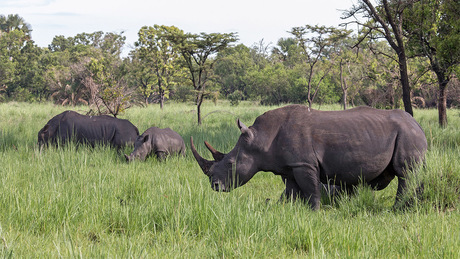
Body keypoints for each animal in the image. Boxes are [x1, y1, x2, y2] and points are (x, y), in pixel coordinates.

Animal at [190, 104, 428, 210]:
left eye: (230, 163)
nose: (215, 186)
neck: (261, 138)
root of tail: (418, 124)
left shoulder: (304, 164)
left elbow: (311, 189)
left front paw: (314, 212)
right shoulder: (290, 166)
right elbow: (292, 191)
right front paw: (290, 210)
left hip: (407, 134)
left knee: (405, 173)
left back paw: (397, 208)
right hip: (406, 133)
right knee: (413, 173)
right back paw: (413, 206)